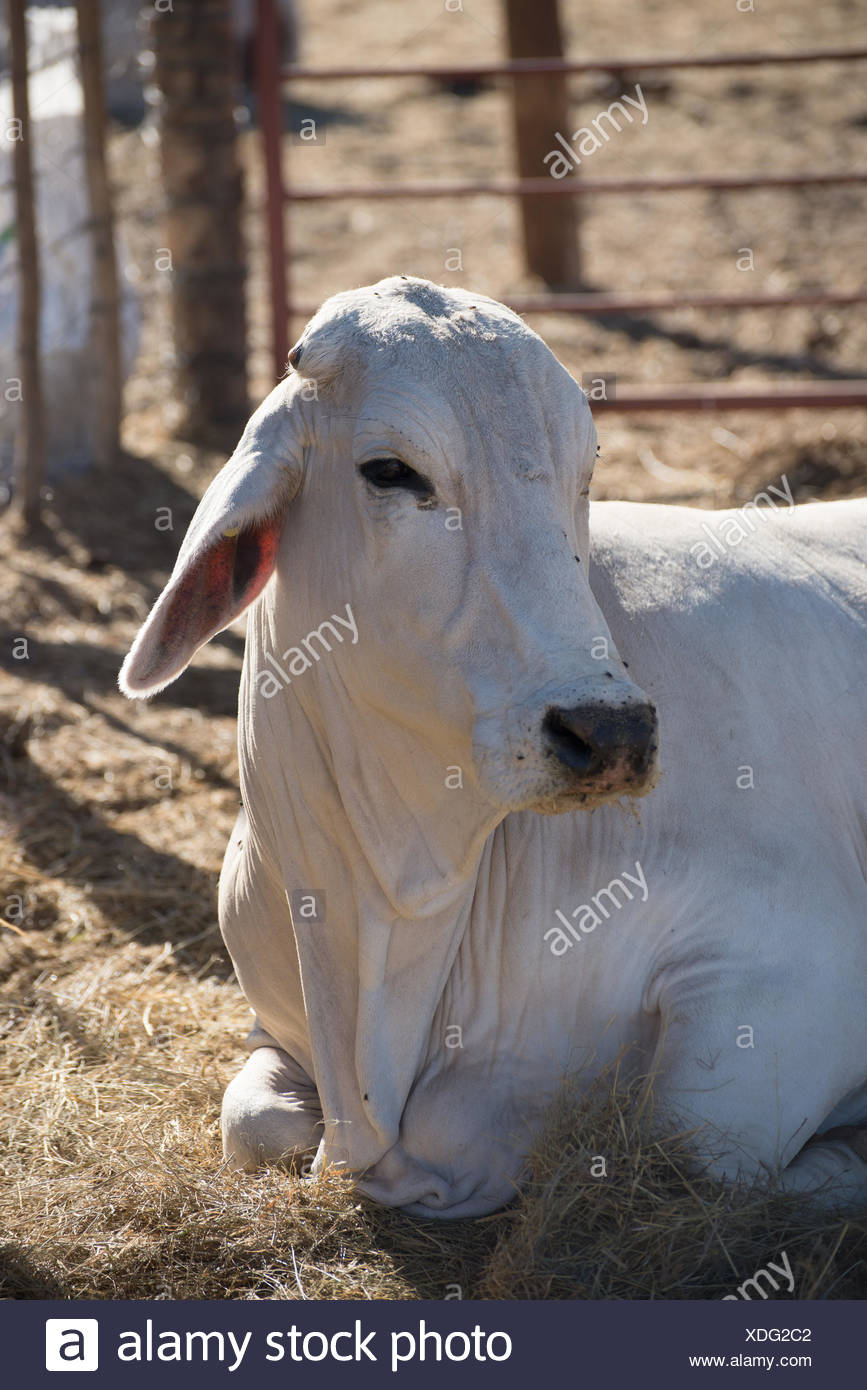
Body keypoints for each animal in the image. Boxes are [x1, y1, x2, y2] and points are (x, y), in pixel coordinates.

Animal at [120, 277, 867, 1218]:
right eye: (390, 471)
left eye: (585, 470)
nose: (612, 731)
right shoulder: (273, 1028)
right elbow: (257, 1127)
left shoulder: (798, 973)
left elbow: (689, 1143)